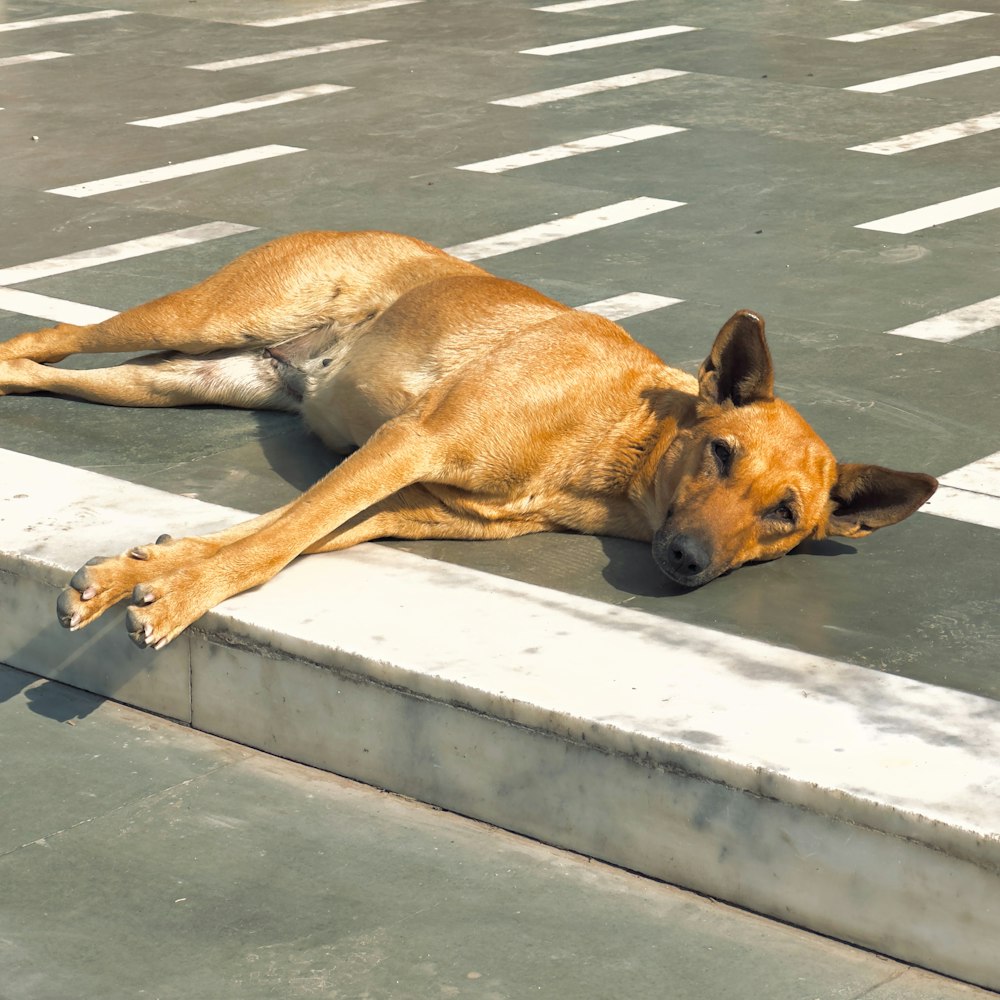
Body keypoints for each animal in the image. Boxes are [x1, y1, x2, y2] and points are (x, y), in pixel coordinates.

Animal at [0, 229, 936, 648]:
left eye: (785, 515)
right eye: (722, 452)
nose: (687, 561)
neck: (617, 441)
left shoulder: (406, 500)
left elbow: (275, 534)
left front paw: (143, 571)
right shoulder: (407, 442)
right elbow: (275, 539)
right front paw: (177, 593)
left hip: (178, 378)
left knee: (44, 368)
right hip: (205, 317)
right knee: (42, 340)